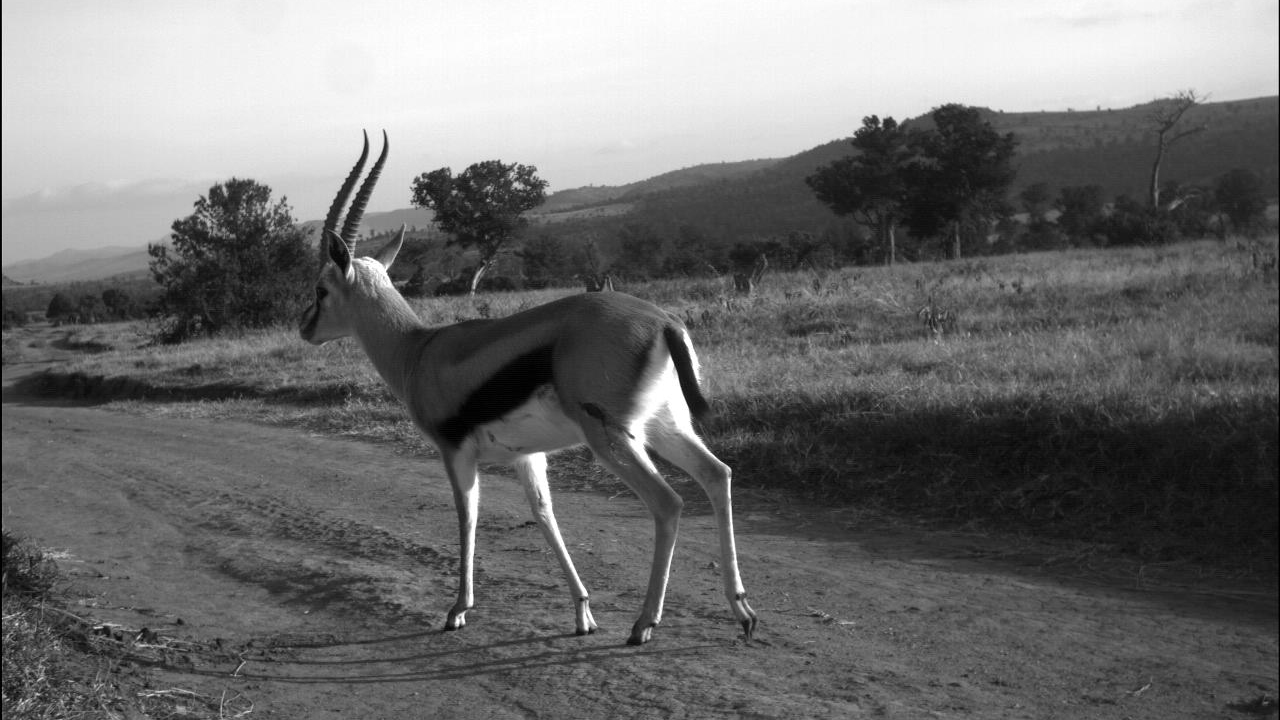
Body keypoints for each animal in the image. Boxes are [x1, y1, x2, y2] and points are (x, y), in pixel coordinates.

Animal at [299, 131, 757, 645]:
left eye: (320, 289)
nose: (304, 327)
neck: (419, 350)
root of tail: (663, 322)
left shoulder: (454, 452)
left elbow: (468, 515)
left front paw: (458, 610)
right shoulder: (526, 455)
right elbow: (544, 514)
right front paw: (582, 613)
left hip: (613, 439)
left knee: (669, 502)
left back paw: (644, 624)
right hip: (664, 425)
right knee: (717, 474)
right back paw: (742, 612)